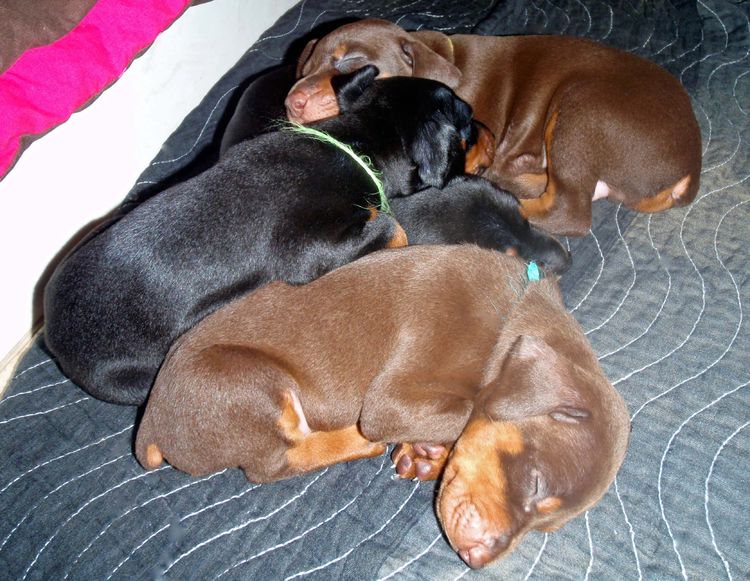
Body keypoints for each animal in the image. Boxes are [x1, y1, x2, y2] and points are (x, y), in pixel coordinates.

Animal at [44, 65, 488, 406]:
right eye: (465, 122)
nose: (487, 126)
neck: (353, 142)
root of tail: (50, 334)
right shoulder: (305, 250)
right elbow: (391, 225)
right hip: (131, 379)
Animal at [138, 245, 632, 568]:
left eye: (546, 530)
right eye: (535, 483)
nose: (476, 559)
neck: (511, 314)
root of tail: (149, 424)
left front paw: (426, 456)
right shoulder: (393, 396)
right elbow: (466, 411)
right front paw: (428, 446)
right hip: (249, 383)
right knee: (273, 463)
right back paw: (355, 441)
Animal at [284, 18, 704, 236]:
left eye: (350, 61)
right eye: (303, 69)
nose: (292, 103)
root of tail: (689, 169)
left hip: (583, 107)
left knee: (567, 210)